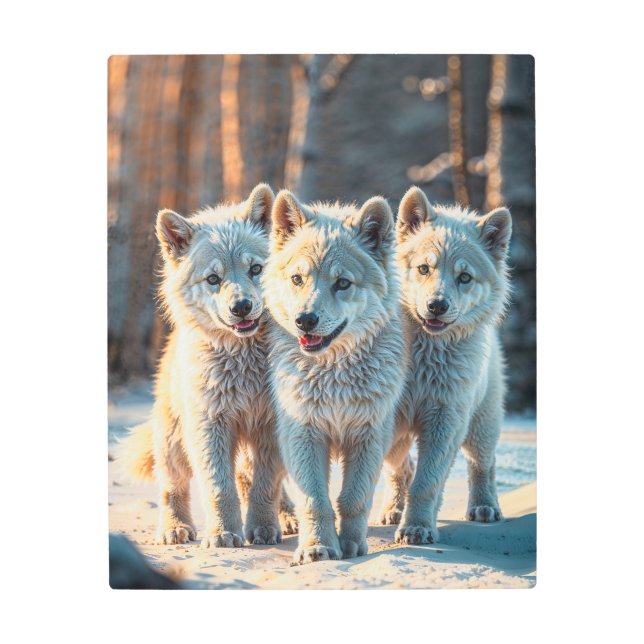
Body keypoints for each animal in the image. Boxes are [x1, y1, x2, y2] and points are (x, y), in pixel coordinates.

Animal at [117, 183, 297, 547]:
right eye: (213, 278)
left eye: (256, 269)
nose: (241, 306)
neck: (244, 363)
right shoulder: (210, 425)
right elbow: (219, 487)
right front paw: (224, 533)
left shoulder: (270, 426)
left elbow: (264, 485)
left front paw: (262, 527)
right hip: (173, 441)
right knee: (172, 487)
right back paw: (174, 528)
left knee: (258, 480)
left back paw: (285, 518)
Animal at [262, 190, 408, 564]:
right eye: (297, 279)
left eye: (342, 283)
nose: (305, 320)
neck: (333, 377)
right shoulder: (303, 434)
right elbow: (315, 500)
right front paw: (318, 548)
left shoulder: (368, 435)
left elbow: (353, 499)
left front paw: (352, 546)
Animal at [380, 186, 512, 544]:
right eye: (424, 268)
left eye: (464, 277)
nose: (437, 305)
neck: (424, 356)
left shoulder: (446, 419)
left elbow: (427, 483)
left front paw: (417, 527)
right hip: (398, 437)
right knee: (401, 468)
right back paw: (393, 508)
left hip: (480, 424)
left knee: (484, 463)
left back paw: (484, 506)